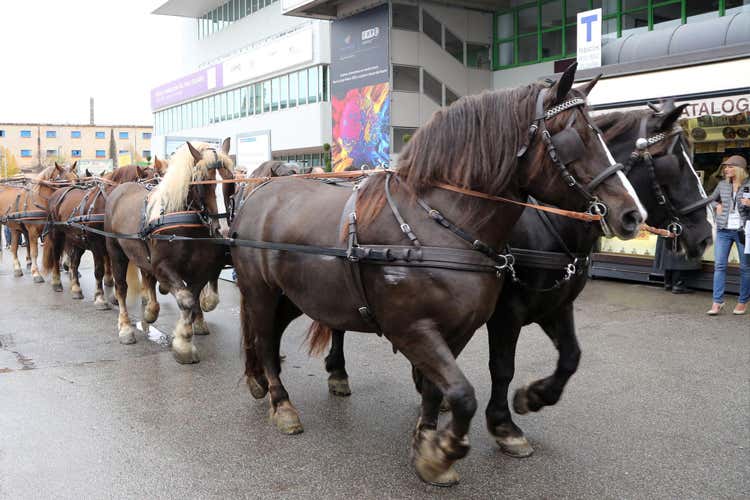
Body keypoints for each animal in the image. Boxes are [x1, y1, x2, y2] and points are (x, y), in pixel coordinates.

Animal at [42, 165, 157, 309]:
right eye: (150, 187)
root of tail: (57, 193)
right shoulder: (96, 245)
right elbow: (99, 270)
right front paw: (100, 297)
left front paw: (116, 297)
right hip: (57, 235)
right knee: (56, 256)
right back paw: (57, 282)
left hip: (77, 239)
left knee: (74, 262)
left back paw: (76, 289)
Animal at [104, 140, 234, 363]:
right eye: (202, 181)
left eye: (232, 179)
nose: (223, 231)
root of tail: (121, 189)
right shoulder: (162, 267)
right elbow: (185, 299)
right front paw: (183, 344)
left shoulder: (201, 269)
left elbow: (193, 298)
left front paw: (185, 335)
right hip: (116, 252)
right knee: (121, 288)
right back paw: (126, 328)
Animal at [229, 63, 645, 485]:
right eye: (578, 137)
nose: (631, 214)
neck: (440, 224)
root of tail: (258, 190)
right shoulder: (414, 328)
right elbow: (464, 393)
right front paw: (443, 451)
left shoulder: (461, 328)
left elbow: (440, 388)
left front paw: (427, 438)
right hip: (262, 292)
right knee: (264, 340)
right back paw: (282, 403)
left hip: (294, 296)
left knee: (270, 336)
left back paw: (263, 381)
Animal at [321, 100, 714, 460]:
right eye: (672, 161)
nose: (706, 234)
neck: (549, 224)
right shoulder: (506, 312)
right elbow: (502, 367)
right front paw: (503, 425)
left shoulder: (556, 305)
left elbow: (571, 357)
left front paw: (535, 397)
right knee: (336, 322)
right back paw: (338, 371)